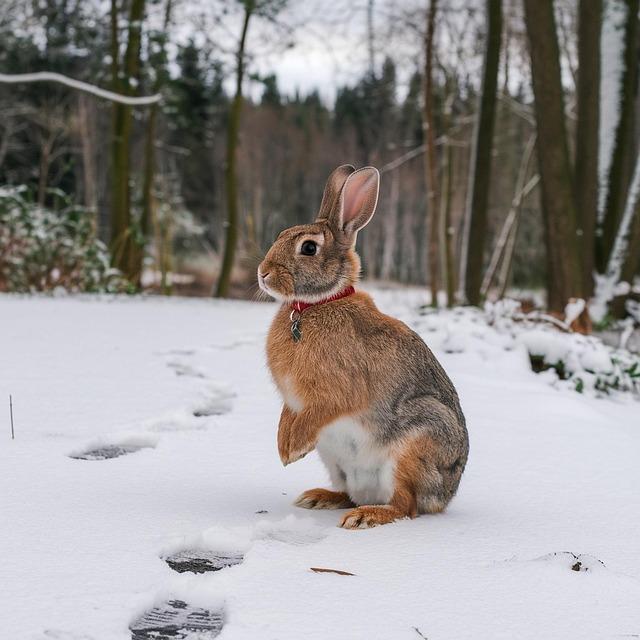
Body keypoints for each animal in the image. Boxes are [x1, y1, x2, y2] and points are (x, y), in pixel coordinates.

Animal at [256, 165, 470, 528]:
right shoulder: (293, 400)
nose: (263, 274)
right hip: (337, 463)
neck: (317, 304)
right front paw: (283, 444)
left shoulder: (337, 392)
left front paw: (293, 449)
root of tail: (446, 495)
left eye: (308, 248)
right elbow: (288, 415)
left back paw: (365, 517)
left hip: (415, 444)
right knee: (350, 494)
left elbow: (320, 411)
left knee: (405, 506)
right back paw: (319, 498)